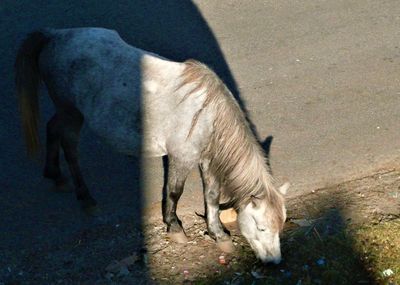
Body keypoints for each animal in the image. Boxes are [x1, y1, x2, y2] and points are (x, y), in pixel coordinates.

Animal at [15, 27, 288, 262]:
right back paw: (85, 198)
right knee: (70, 146)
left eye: (281, 225)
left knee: (52, 128)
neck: (207, 113)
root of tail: (54, 36)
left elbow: (211, 196)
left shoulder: (207, 160)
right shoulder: (181, 157)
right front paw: (175, 228)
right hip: (71, 112)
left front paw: (219, 235)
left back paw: (55, 175)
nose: (273, 262)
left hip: (66, 112)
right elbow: (174, 192)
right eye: (261, 228)